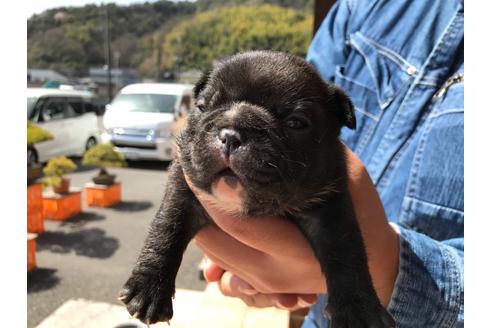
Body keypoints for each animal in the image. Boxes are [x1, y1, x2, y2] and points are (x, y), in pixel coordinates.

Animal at [119, 51, 396, 328]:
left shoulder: (330, 209)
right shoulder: (182, 186)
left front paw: (359, 311)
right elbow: (167, 227)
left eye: (296, 123)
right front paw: (149, 288)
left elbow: (346, 253)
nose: (230, 135)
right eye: (202, 107)